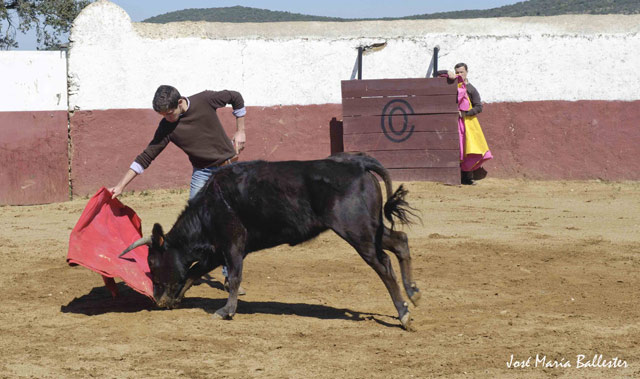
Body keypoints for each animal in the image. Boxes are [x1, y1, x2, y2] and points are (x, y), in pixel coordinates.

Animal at [120, 153, 422, 332]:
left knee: (383, 264)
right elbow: (194, 272)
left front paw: (226, 311)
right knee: (399, 241)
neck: (209, 206)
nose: (157, 299)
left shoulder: (232, 244)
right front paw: (177, 299)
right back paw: (414, 293)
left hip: (356, 231)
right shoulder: (216, 250)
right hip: (371, 228)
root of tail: (356, 162)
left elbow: (233, 277)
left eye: (152, 262)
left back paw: (404, 314)